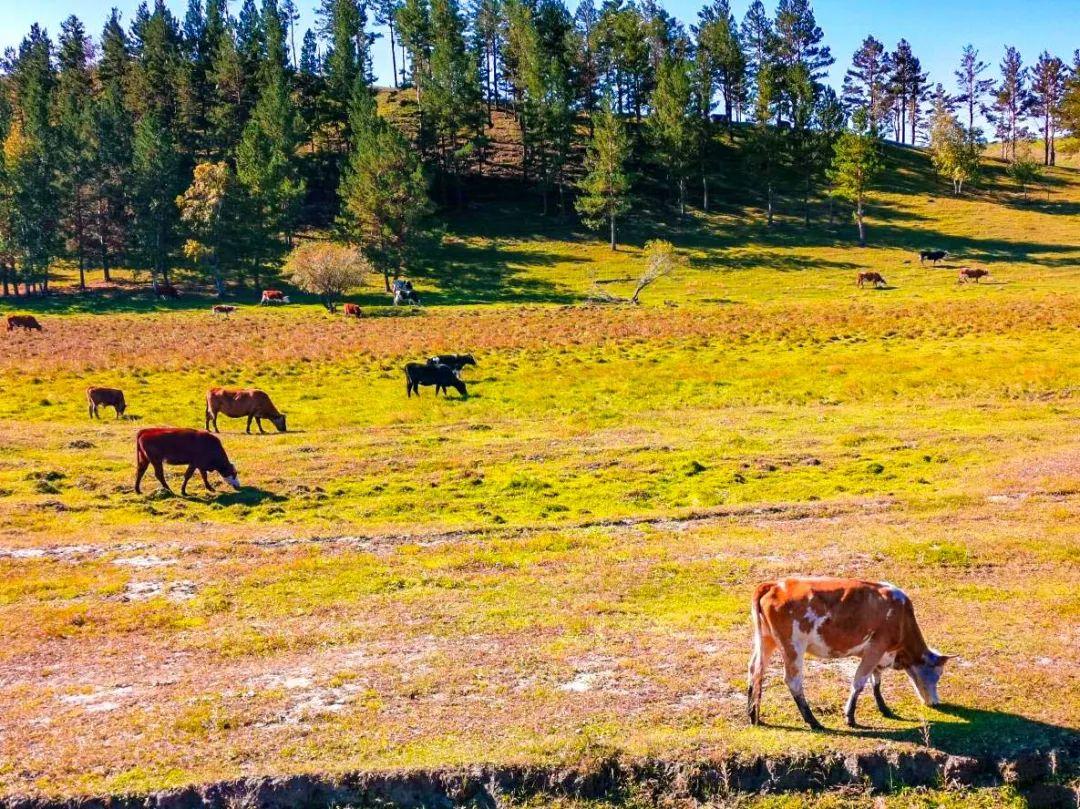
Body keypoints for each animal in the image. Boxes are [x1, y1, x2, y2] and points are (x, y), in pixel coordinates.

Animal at [747, 578, 950, 730]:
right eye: (938, 674)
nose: (936, 702)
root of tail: (775, 584)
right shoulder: (877, 647)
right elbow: (859, 682)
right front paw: (850, 717)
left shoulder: (876, 652)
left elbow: (876, 680)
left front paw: (884, 709)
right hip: (793, 645)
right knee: (793, 680)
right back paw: (813, 721)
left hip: (767, 639)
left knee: (755, 670)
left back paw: (753, 715)